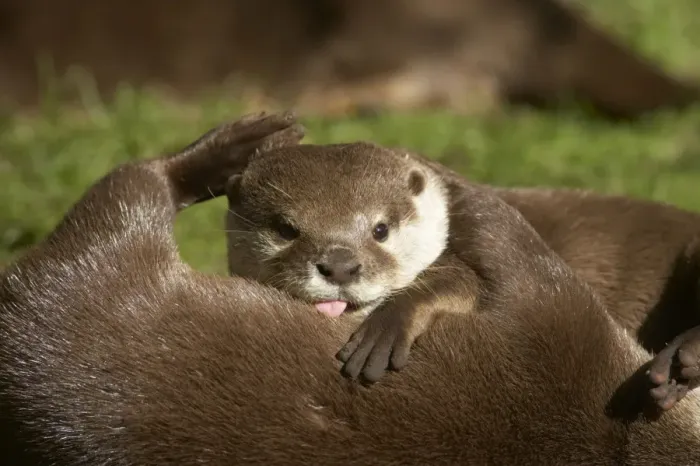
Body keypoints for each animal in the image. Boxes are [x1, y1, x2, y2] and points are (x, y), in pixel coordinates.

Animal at [3, 112, 700, 464]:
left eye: (382, 229)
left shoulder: (554, 316)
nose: (338, 264)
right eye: (286, 229)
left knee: (136, 181)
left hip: (104, 248)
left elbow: (470, 264)